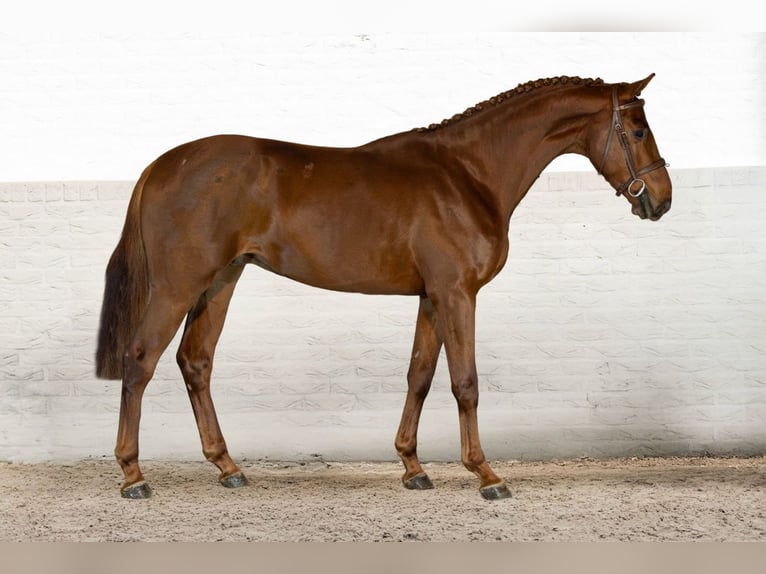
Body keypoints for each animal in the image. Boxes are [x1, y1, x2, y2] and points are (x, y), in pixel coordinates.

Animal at [96, 74, 671, 500]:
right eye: (638, 131)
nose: (661, 200)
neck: (468, 174)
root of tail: (160, 166)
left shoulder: (432, 297)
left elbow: (419, 376)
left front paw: (414, 468)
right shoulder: (458, 295)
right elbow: (465, 382)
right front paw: (486, 475)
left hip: (221, 281)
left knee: (195, 362)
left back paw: (227, 467)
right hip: (178, 286)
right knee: (140, 360)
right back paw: (133, 475)